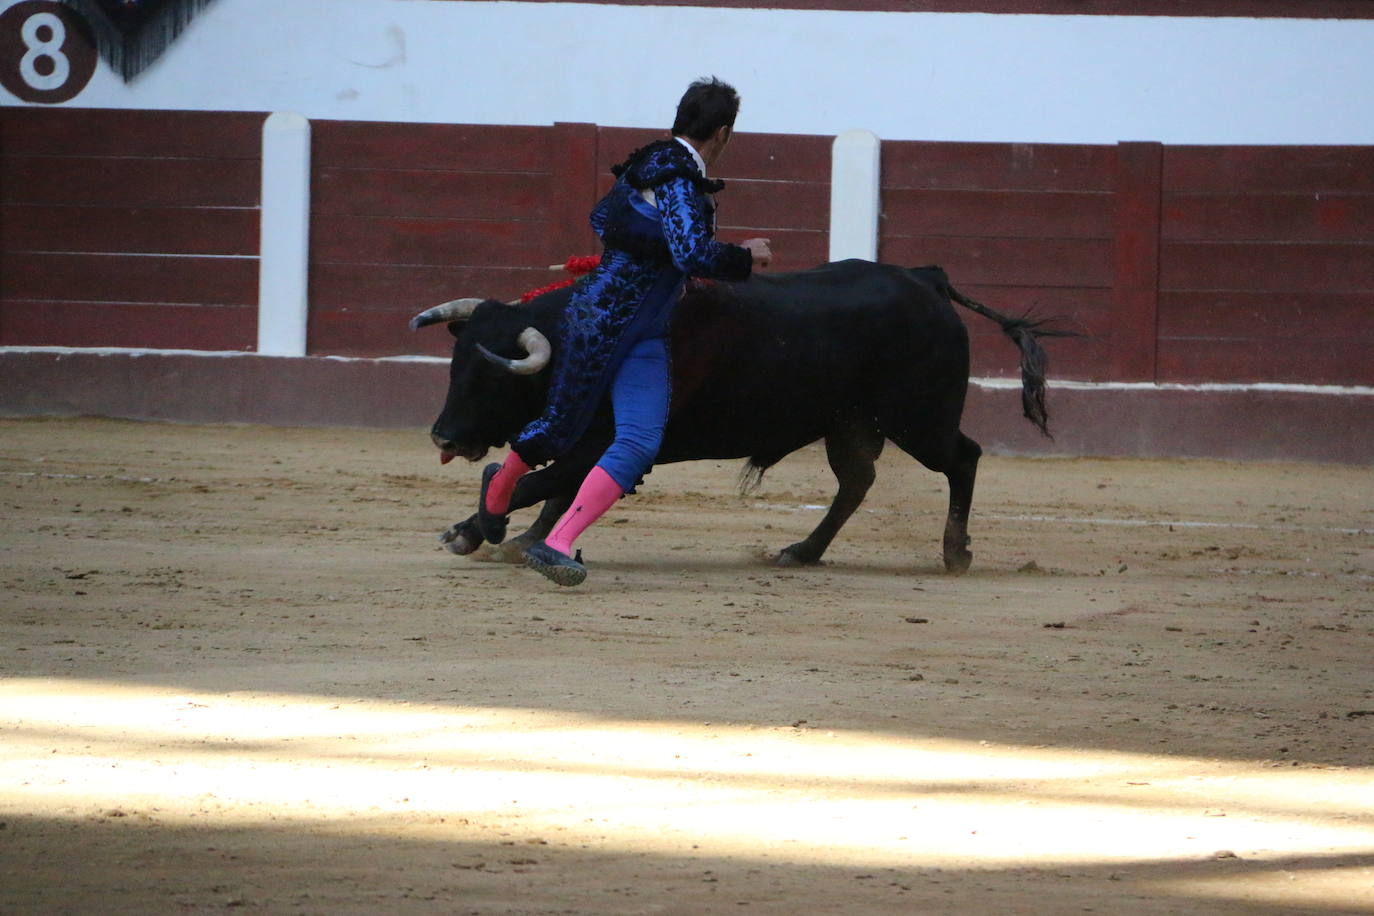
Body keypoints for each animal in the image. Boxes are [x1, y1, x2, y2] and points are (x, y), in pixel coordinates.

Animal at [412, 259, 1066, 574]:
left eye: (495, 375)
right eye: (455, 365)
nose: (442, 435)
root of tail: (927, 281)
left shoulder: (617, 442)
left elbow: (539, 484)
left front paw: (472, 531)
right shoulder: (591, 440)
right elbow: (552, 489)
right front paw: (518, 538)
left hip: (918, 419)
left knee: (963, 459)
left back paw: (956, 553)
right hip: (851, 424)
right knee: (856, 481)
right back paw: (802, 552)